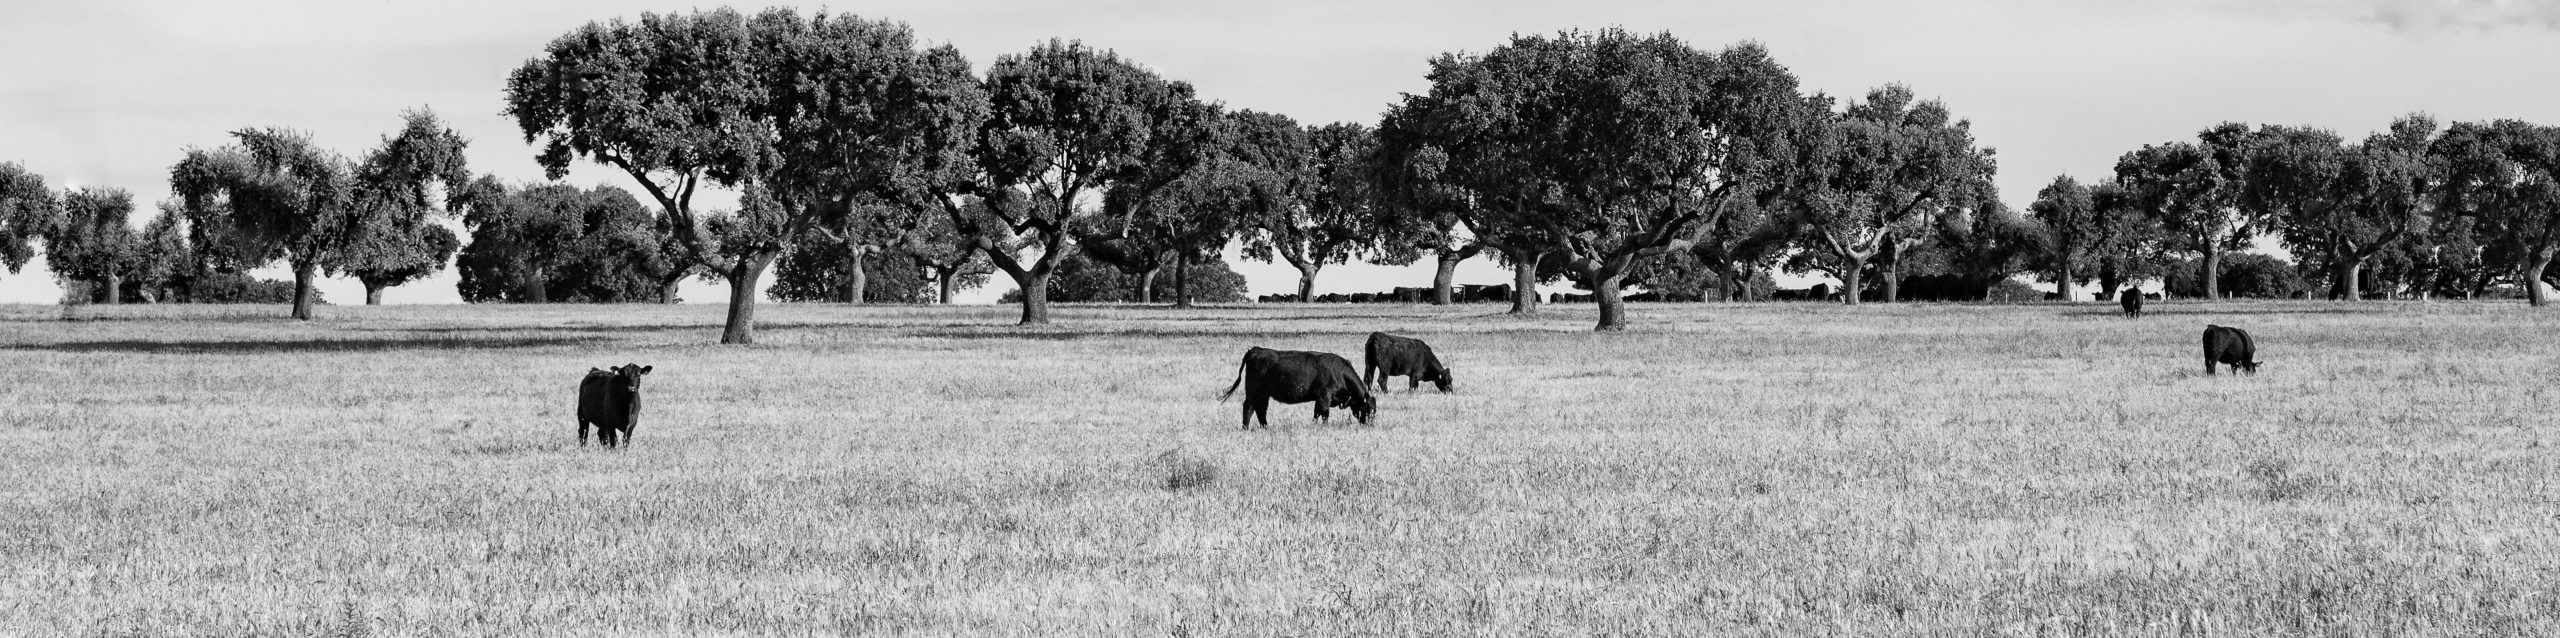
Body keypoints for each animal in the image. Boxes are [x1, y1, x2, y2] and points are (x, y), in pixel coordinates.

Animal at [1218, 345, 1382, 430]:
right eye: (1370, 410)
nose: (1370, 425)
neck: (1339, 372)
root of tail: (1257, 349)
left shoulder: (1319, 399)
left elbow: (1317, 413)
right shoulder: (1324, 395)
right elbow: (1324, 413)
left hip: (1264, 395)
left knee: (1261, 410)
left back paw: (1265, 427)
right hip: (1253, 392)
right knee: (1249, 407)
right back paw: (1245, 428)